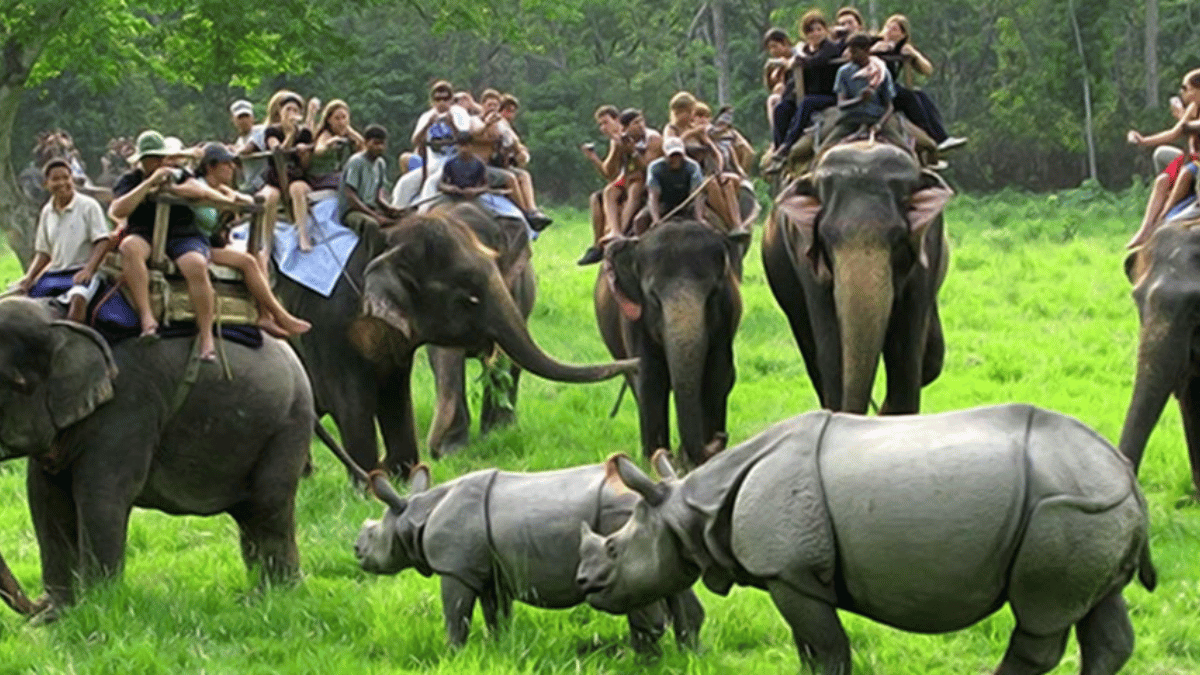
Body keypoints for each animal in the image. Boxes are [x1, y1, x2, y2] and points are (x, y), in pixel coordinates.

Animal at [0, 297, 314, 611]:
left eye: (13, 383)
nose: (35, 605)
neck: (61, 319)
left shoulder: (128, 407)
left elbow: (101, 495)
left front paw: (97, 607)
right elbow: (45, 497)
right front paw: (59, 613)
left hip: (288, 427)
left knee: (268, 508)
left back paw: (273, 597)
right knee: (250, 514)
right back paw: (259, 598)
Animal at [276, 203, 617, 475]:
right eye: (468, 297)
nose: (438, 454)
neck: (385, 240)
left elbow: (396, 395)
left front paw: (403, 476)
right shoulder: (327, 325)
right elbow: (349, 401)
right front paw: (373, 486)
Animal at [578, 405, 1156, 675]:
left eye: (615, 549)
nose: (586, 584)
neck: (690, 511)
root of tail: (1124, 475)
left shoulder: (788, 572)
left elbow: (828, 648)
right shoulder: (792, 578)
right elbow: (809, 648)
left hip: (1062, 508)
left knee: (1040, 617)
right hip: (1092, 508)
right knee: (1100, 609)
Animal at [596, 219, 747, 466]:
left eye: (713, 293)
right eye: (653, 297)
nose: (720, 437)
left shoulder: (726, 319)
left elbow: (717, 376)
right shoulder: (635, 320)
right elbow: (651, 379)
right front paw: (655, 459)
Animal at [763, 140, 952, 414]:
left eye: (898, 237)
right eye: (825, 236)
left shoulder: (928, 243)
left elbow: (906, 353)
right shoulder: (805, 254)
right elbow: (831, 350)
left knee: (932, 358)